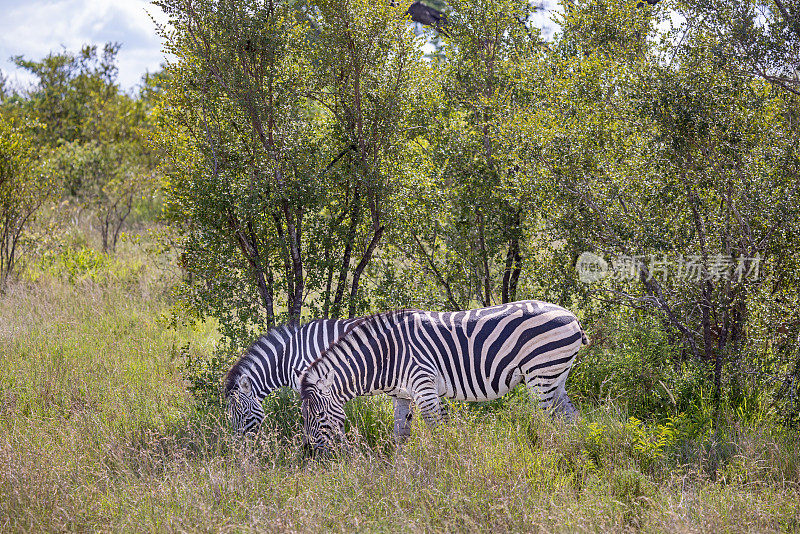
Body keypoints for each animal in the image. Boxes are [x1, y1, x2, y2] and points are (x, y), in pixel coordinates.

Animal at [300, 304, 588, 450]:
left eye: (320, 415)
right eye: (305, 417)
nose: (311, 451)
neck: (387, 354)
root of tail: (572, 316)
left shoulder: (423, 385)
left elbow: (436, 428)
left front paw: (443, 463)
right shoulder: (401, 395)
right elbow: (401, 433)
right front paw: (400, 469)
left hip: (542, 375)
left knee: (549, 422)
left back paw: (552, 453)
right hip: (556, 376)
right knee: (571, 418)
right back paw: (575, 450)